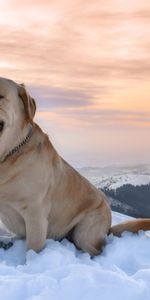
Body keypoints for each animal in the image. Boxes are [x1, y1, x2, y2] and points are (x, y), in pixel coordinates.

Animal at [0, 77, 149, 255]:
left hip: (84, 232)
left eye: (0, 96)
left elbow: (33, 250)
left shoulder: (35, 213)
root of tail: (108, 229)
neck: (9, 154)